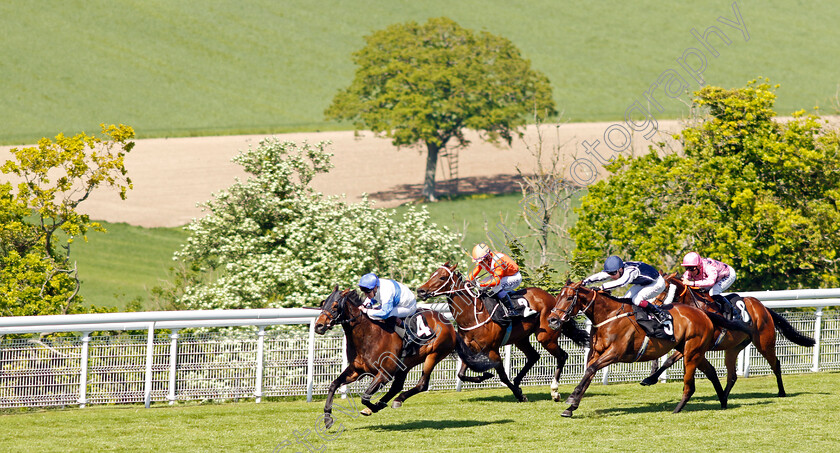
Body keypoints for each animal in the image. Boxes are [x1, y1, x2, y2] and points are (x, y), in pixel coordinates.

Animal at [314, 286, 456, 428]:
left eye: (335, 305)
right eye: (322, 304)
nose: (318, 326)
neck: (368, 335)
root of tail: (448, 322)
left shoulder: (385, 373)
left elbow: (365, 396)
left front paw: (374, 407)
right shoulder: (356, 370)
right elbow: (333, 384)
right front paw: (327, 418)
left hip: (433, 355)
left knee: (422, 384)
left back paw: (393, 400)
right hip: (405, 365)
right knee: (397, 386)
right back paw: (390, 401)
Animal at [416, 262, 592, 402]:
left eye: (442, 277)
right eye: (432, 274)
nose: (421, 291)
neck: (472, 315)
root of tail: (554, 299)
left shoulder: (492, 350)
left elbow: (502, 375)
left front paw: (520, 395)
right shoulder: (470, 349)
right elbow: (461, 374)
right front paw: (486, 376)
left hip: (545, 336)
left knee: (562, 356)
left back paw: (554, 391)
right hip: (521, 338)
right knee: (534, 356)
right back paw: (518, 381)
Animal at [548, 280, 752, 414]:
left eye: (569, 298)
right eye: (557, 297)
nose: (552, 320)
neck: (609, 316)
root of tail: (703, 313)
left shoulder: (615, 353)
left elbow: (590, 370)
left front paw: (571, 399)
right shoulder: (596, 353)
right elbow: (588, 374)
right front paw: (571, 407)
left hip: (691, 353)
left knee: (690, 385)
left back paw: (677, 409)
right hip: (692, 352)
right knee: (711, 372)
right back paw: (723, 401)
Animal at [644, 272, 812, 396]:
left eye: (663, 289)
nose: (651, 307)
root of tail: (763, 307)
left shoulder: (697, 343)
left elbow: (670, 360)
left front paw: (650, 379)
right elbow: (668, 359)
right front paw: (651, 377)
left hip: (765, 342)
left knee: (776, 364)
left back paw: (781, 392)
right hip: (735, 347)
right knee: (732, 376)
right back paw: (723, 396)